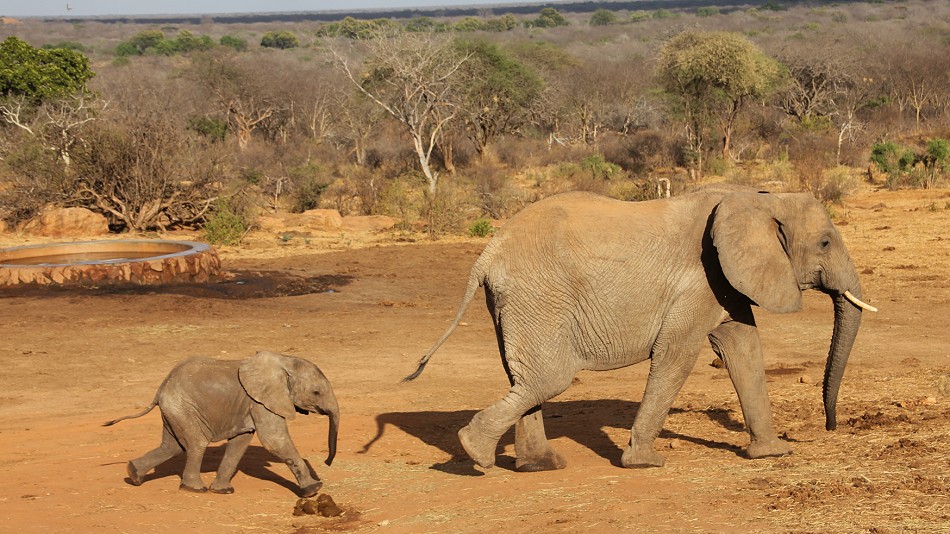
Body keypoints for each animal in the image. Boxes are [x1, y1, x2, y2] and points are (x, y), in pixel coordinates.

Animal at [104, 352, 340, 498]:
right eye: (316, 393)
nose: (327, 462)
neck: (285, 361)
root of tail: (160, 388)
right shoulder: (261, 401)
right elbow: (274, 441)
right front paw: (313, 490)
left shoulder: (250, 405)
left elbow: (240, 442)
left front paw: (222, 491)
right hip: (182, 407)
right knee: (196, 444)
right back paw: (194, 489)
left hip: (174, 410)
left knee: (171, 446)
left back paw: (134, 475)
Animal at [406, 184, 872, 474]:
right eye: (825, 243)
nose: (831, 426)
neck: (759, 197)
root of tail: (487, 254)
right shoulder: (700, 279)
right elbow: (677, 356)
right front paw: (645, 463)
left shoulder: (724, 281)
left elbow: (743, 348)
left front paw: (772, 453)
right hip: (537, 298)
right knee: (547, 379)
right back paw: (474, 452)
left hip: (514, 304)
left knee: (525, 379)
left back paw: (538, 466)